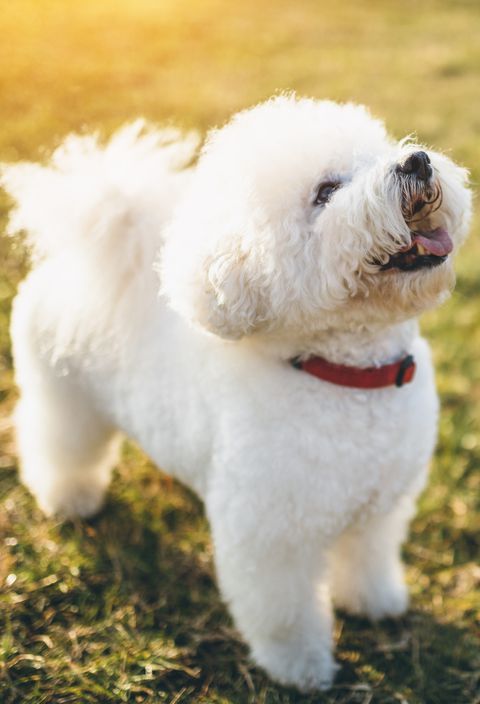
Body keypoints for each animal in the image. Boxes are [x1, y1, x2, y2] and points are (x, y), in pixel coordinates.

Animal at [1, 96, 470, 692]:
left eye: (379, 152)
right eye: (326, 191)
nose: (416, 162)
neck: (344, 375)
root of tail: (72, 261)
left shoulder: (379, 506)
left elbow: (367, 559)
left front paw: (375, 603)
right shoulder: (271, 534)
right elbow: (285, 611)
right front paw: (301, 669)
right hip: (63, 397)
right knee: (58, 445)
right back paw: (70, 499)